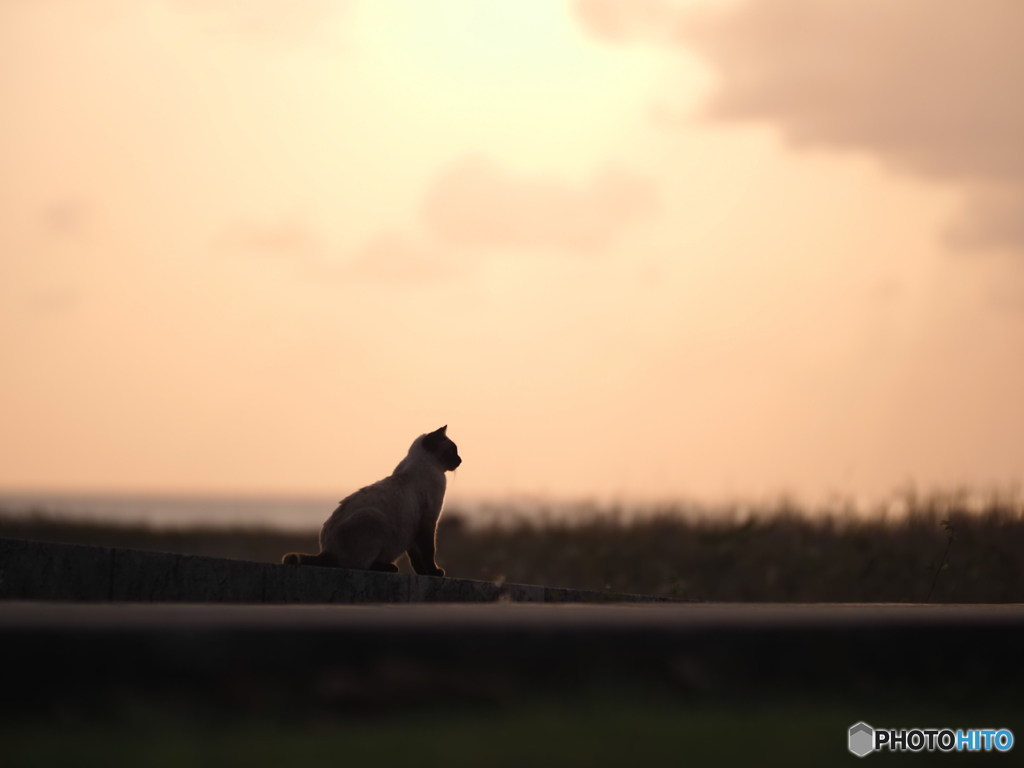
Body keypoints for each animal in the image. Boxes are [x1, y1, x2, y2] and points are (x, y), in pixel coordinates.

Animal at [278, 428, 458, 577]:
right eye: (453, 451)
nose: (460, 460)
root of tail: (327, 550)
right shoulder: (428, 523)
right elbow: (428, 553)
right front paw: (434, 573)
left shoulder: (415, 531)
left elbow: (416, 560)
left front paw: (424, 573)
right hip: (372, 519)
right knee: (361, 565)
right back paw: (390, 568)